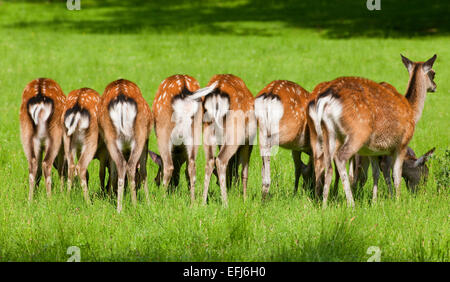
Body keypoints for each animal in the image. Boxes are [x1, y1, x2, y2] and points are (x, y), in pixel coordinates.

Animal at [98, 78, 153, 213]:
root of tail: (121, 98)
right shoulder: (147, 141)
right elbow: (143, 171)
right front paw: (149, 202)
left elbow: (112, 172)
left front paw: (109, 197)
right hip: (140, 135)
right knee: (131, 165)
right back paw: (134, 205)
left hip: (110, 137)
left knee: (121, 165)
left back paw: (119, 208)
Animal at [149, 74, 202, 203]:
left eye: (159, 168)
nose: (155, 180)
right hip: (196, 133)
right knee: (191, 168)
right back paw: (193, 202)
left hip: (163, 132)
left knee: (169, 166)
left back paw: (162, 200)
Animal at [186, 74, 256, 207]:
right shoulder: (248, 141)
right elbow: (244, 172)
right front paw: (245, 200)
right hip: (235, 132)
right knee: (220, 159)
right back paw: (225, 204)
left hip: (207, 130)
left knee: (209, 161)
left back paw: (203, 203)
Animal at [308, 54, 438, 207]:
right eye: (433, 73)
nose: (435, 86)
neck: (412, 111)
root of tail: (325, 100)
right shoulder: (401, 144)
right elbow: (395, 175)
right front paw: (397, 201)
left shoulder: (373, 150)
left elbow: (376, 174)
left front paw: (375, 202)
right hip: (357, 132)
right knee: (340, 158)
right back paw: (351, 204)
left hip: (328, 133)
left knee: (327, 166)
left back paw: (324, 205)